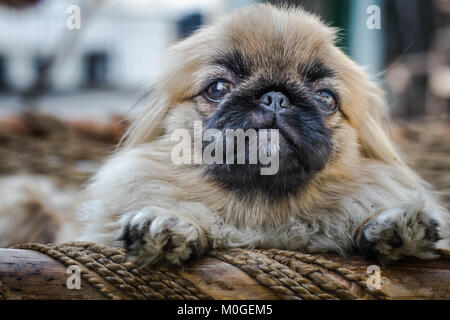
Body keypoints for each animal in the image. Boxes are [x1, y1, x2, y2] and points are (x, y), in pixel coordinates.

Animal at [75, 4, 448, 264]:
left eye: (325, 98)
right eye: (218, 88)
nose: (275, 98)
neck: (261, 213)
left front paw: (392, 225)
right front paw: (169, 223)